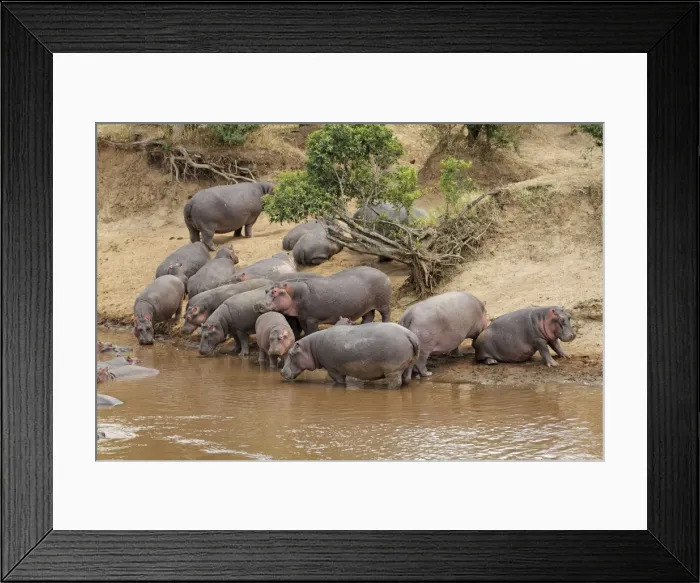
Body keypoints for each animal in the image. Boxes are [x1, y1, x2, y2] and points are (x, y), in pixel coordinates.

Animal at [255, 266, 391, 335]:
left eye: (275, 291)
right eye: (265, 291)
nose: (258, 304)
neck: (294, 294)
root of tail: (383, 273)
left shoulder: (312, 319)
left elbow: (311, 332)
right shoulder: (302, 318)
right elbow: (305, 330)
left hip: (383, 304)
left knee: (386, 314)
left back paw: (385, 324)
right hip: (367, 307)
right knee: (368, 317)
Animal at [281, 322, 420, 389]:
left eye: (291, 353)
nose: (281, 371)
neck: (311, 348)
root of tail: (409, 334)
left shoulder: (333, 370)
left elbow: (339, 381)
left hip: (393, 370)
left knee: (396, 382)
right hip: (408, 365)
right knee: (406, 379)